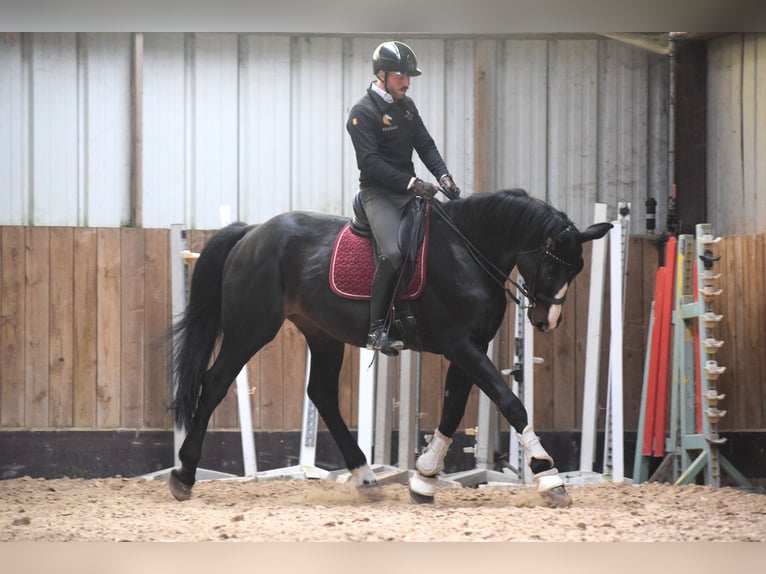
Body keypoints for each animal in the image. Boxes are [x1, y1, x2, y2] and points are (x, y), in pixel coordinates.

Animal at [168, 190, 612, 508]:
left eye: (577, 270)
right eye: (551, 267)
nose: (546, 322)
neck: (467, 251)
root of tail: (251, 233)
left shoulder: (470, 347)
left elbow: (452, 409)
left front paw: (424, 479)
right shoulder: (460, 344)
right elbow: (511, 404)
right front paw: (548, 475)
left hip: (322, 334)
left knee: (322, 394)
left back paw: (365, 477)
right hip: (249, 331)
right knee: (214, 383)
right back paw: (184, 475)